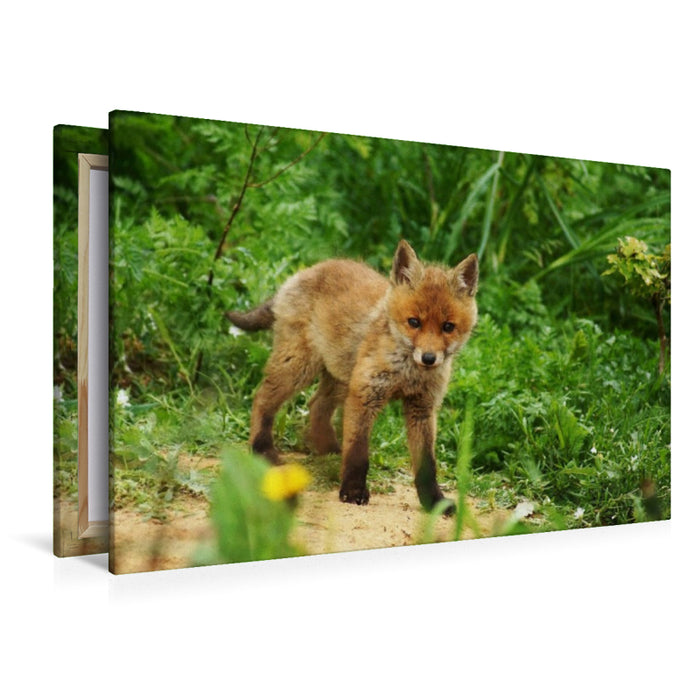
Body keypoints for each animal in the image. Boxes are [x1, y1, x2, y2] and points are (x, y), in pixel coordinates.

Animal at [226, 240, 479, 512]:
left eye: (448, 327)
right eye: (414, 322)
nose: (429, 358)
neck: (407, 373)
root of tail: (305, 271)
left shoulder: (422, 408)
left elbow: (427, 466)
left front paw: (434, 502)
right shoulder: (365, 395)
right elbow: (358, 452)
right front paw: (353, 490)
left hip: (340, 377)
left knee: (317, 405)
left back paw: (328, 450)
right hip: (299, 367)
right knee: (262, 397)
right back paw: (261, 449)